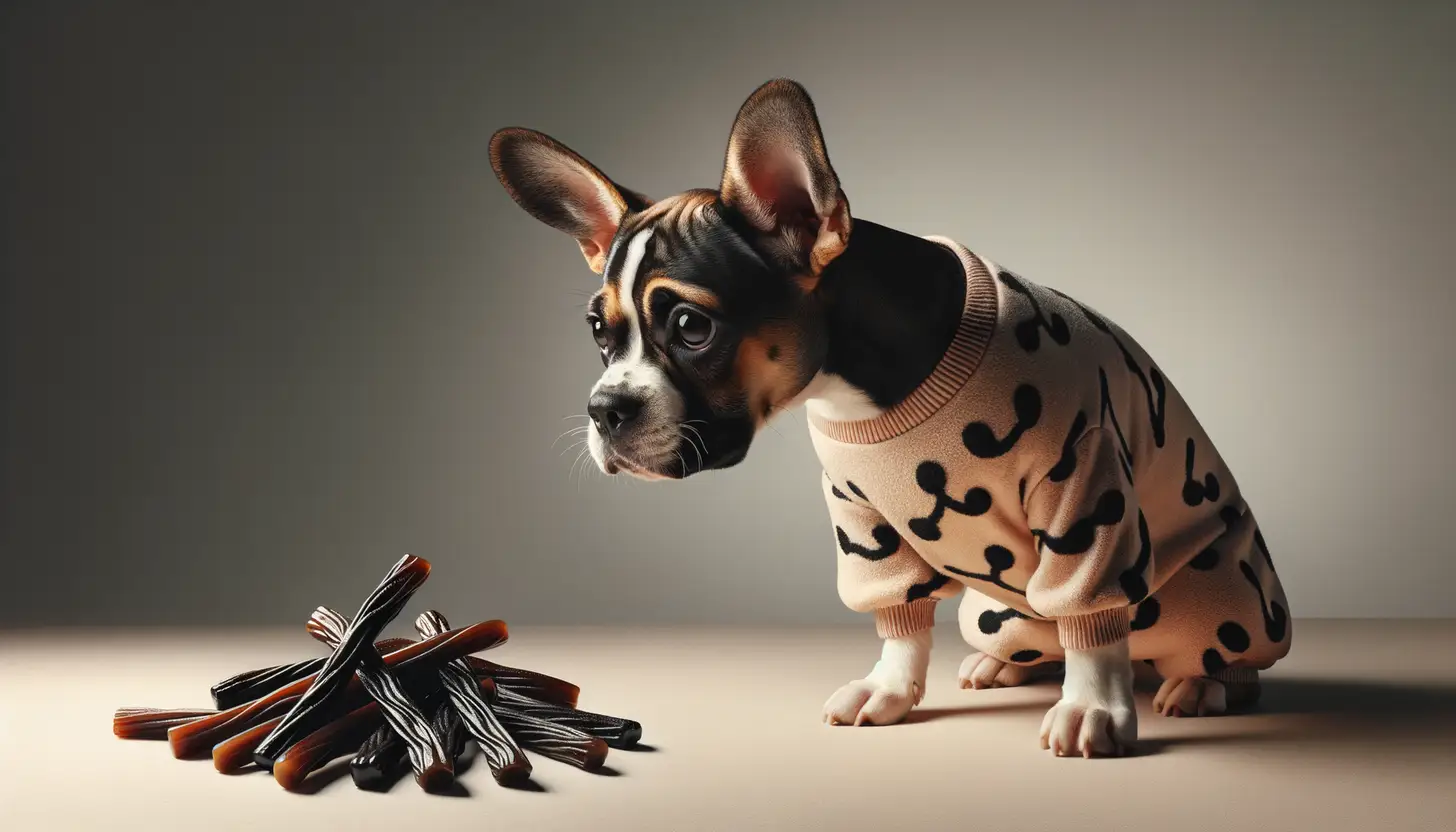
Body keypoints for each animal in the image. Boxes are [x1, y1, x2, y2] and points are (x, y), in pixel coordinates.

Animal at [486, 79, 1287, 763]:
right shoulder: (863, 517)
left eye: (691, 326)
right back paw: (1002, 665)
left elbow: (1092, 618)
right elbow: (898, 616)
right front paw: (891, 690)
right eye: (598, 330)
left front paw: (1092, 709)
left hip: (1218, 600)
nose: (604, 409)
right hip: (990, 611)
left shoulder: (1083, 493)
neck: (862, 387)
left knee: (1218, 654)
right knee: (1027, 632)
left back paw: (1197, 685)